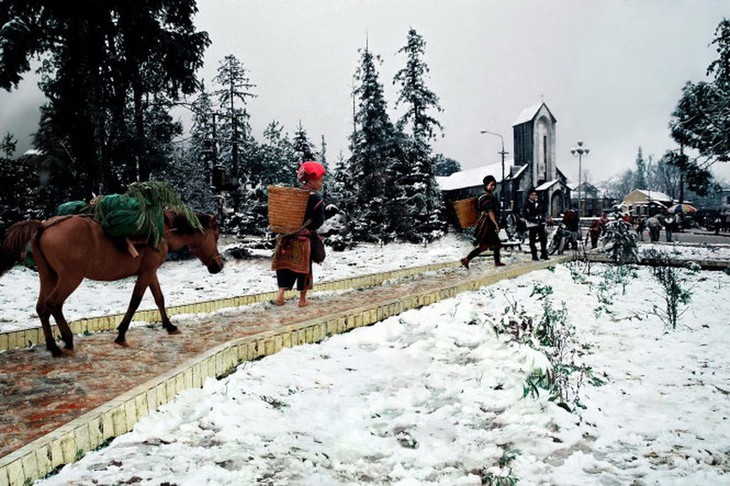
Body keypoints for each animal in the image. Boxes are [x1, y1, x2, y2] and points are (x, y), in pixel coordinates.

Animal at [0, 211, 222, 356]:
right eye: (217, 235)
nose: (219, 265)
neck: (164, 230)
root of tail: (43, 225)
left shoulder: (150, 272)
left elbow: (159, 298)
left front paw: (169, 325)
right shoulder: (147, 272)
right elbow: (135, 301)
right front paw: (121, 334)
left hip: (48, 276)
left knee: (41, 308)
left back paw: (51, 346)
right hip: (70, 277)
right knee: (53, 304)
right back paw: (66, 340)